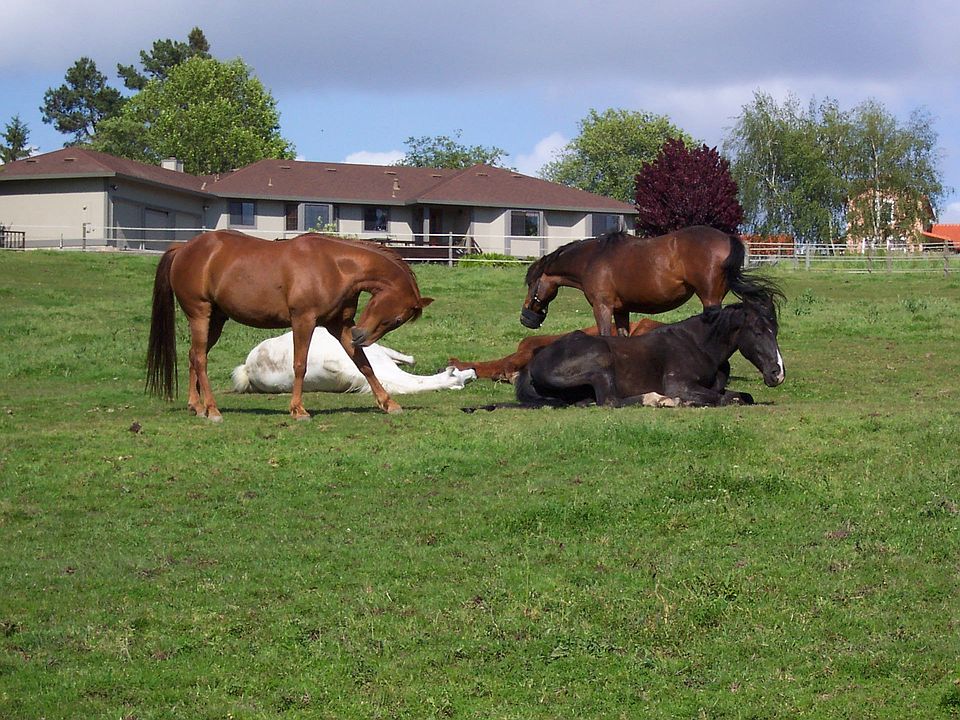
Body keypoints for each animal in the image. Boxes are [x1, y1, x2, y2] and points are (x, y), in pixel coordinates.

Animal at [146, 230, 433, 420]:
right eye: (398, 318)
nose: (360, 336)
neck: (335, 266)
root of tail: (183, 248)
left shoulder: (340, 325)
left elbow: (364, 364)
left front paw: (388, 403)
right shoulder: (303, 320)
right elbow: (299, 365)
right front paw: (298, 409)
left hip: (215, 320)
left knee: (194, 356)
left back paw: (197, 406)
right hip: (200, 315)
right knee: (200, 359)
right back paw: (213, 409)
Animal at [514, 290, 785, 408]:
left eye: (775, 330)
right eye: (758, 331)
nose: (778, 374)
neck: (699, 345)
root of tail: (534, 362)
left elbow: (742, 396)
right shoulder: (680, 385)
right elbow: (726, 398)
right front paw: (684, 401)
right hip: (601, 359)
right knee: (610, 401)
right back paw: (659, 399)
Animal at [520, 225, 773, 336]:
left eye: (532, 283)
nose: (525, 318)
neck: (592, 259)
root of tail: (726, 238)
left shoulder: (602, 307)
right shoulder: (621, 310)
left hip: (710, 299)